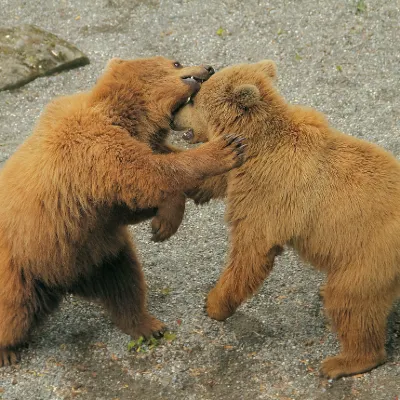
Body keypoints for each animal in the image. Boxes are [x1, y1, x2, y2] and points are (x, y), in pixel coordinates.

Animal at [0, 56, 247, 366]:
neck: (128, 117)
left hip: (98, 253)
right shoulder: (93, 149)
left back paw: (147, 325)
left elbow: (133, 199)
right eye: (176, 62)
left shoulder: (98, 204)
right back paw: (7, 351)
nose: (209, 68)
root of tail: (63, 284)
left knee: (125, 283)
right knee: (14, 312)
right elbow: (148, 173)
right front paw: (227, 148)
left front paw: (163, 223)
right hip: (22, 266)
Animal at [172, 61, 400, 380]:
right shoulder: (243, 172)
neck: (257, 143)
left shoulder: (269, 192)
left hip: (370, 253)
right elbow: (215, 178)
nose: (173, 117)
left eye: (194, 100)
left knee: (351, 301)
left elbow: (251, 251)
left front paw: (214, 304)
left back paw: (341, 362)